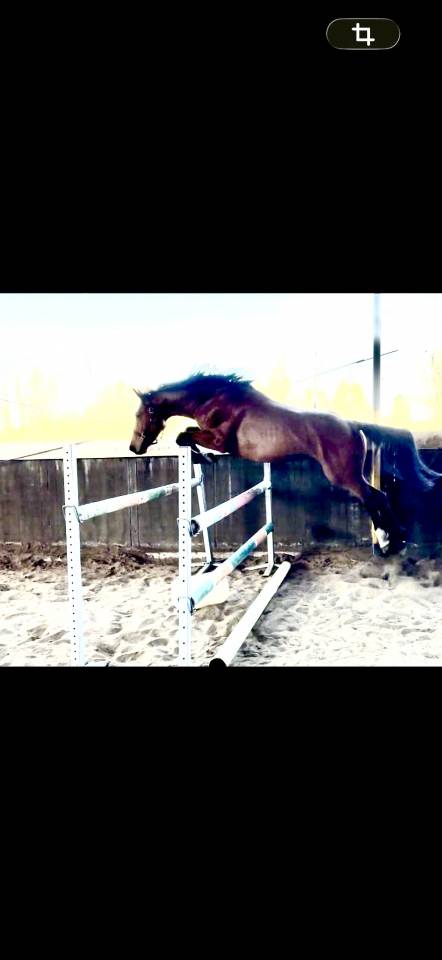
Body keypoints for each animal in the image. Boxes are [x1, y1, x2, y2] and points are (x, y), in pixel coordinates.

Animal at [129, 373, 442, 556]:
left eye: (140, 414)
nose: (135, 447)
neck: (215, 400)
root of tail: (352, 425)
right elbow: (186, 436)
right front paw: (201, 457)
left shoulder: (219, 440)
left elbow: (184, 436)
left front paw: (202, 456)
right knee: (374, 499)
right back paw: (391, 540)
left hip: (344, 476)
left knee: (376, 498)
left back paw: (394, 541)